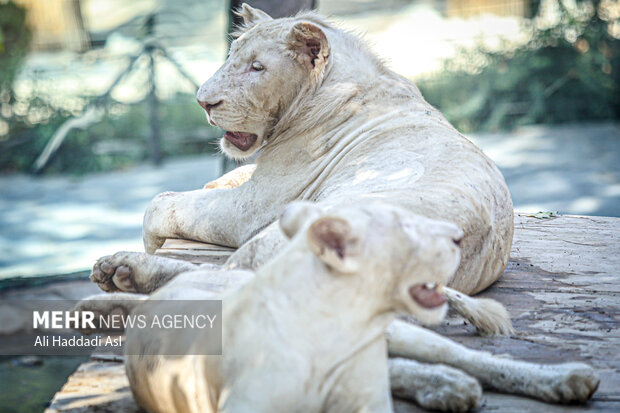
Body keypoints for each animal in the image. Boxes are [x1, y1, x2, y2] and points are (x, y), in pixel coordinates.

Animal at [75, 203, 600, 412]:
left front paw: (119, 276)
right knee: (415, 368)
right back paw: (446, 386)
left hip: (404, 334)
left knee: (472, 359)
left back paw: (562, 380)